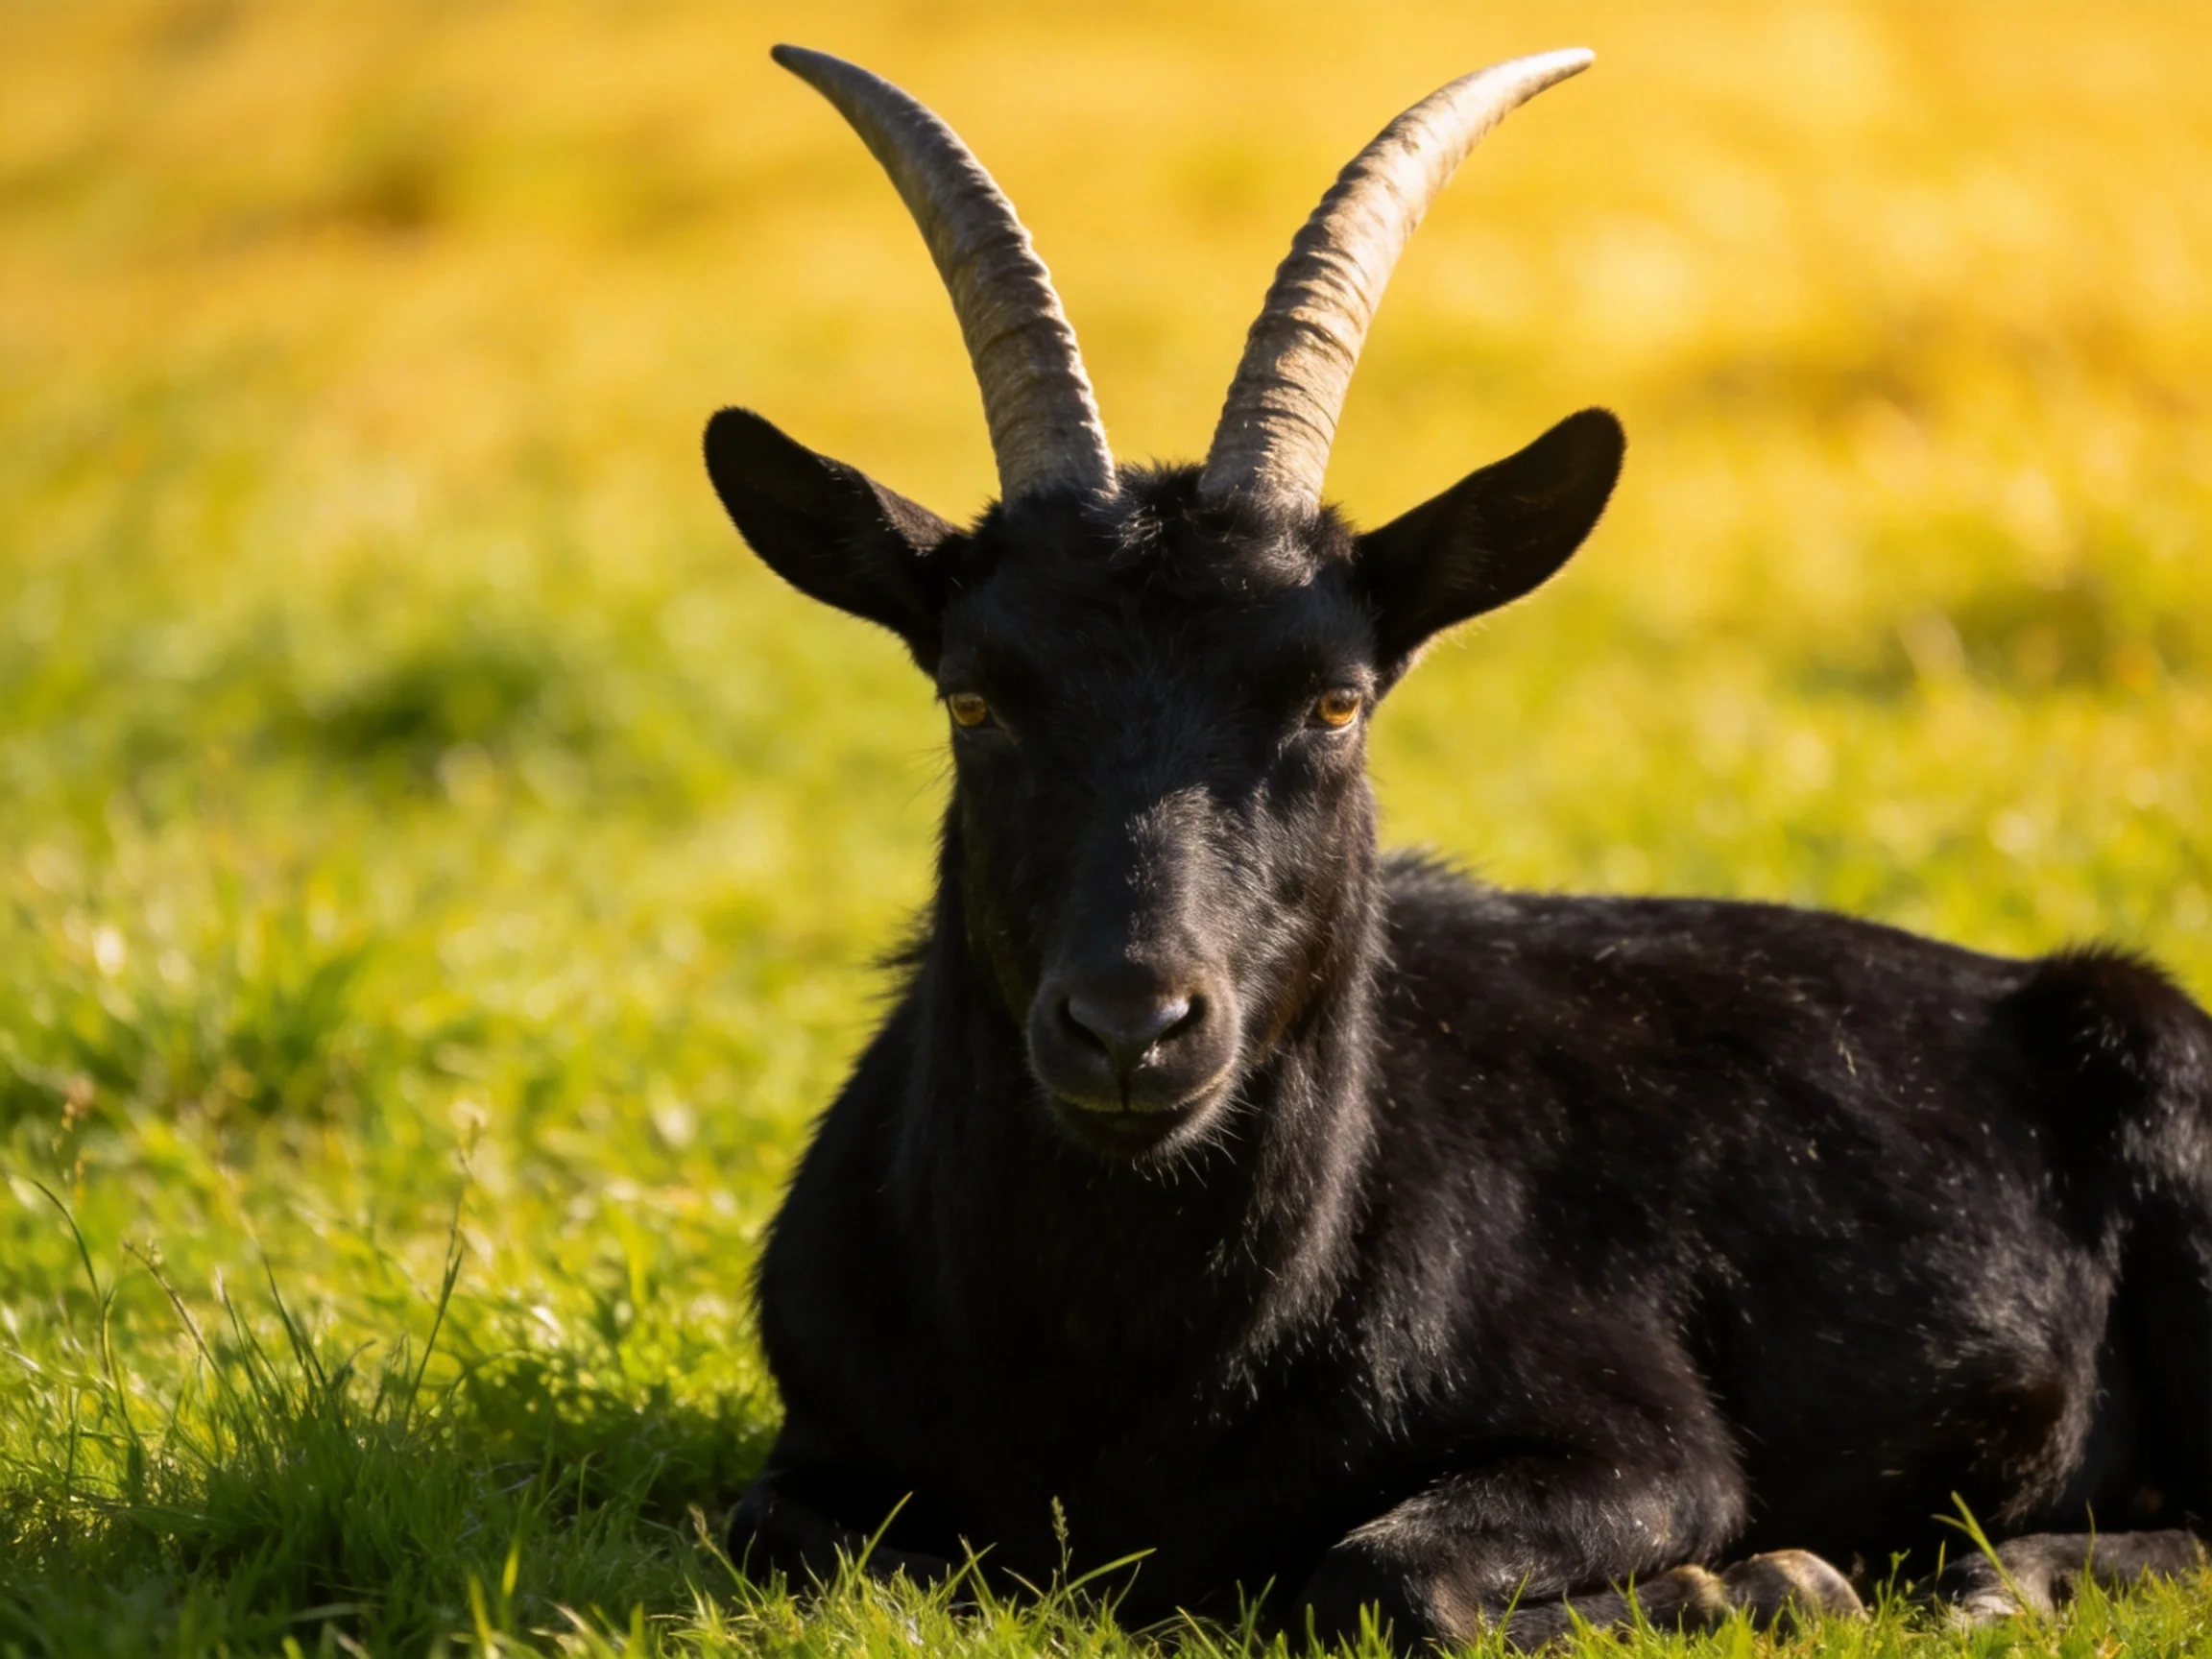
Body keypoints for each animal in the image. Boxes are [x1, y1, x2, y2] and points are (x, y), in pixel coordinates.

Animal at [706, 45, 2212, 1646]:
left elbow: (1380, 1575)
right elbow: (797, 1535)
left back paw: (2003, 1577)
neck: (1127, 1374)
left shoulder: (1639, 1436)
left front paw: (1772, 1577)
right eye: (976, 695)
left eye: (1335, 700)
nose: (1132, 1026)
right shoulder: (821, 1441)